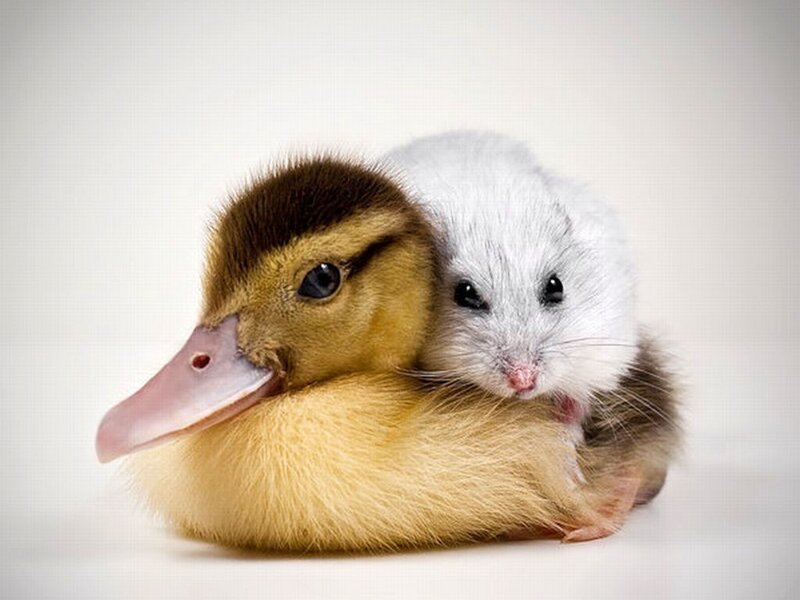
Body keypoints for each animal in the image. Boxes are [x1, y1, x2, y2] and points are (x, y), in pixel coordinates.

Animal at [384, 131, 681, 540]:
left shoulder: (597, 356)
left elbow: (575, 406)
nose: (523, 382)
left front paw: (571, 472)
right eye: (465, 293)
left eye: (555, 286)